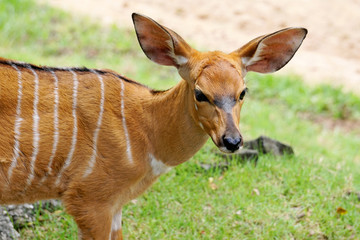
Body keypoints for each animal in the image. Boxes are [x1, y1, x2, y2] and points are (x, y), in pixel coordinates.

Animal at [0, 13, 306, 240]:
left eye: (243, 92)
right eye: (200, 93)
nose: (232, 141)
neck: (145, 131)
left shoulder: (115, 206)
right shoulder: (89, 199)